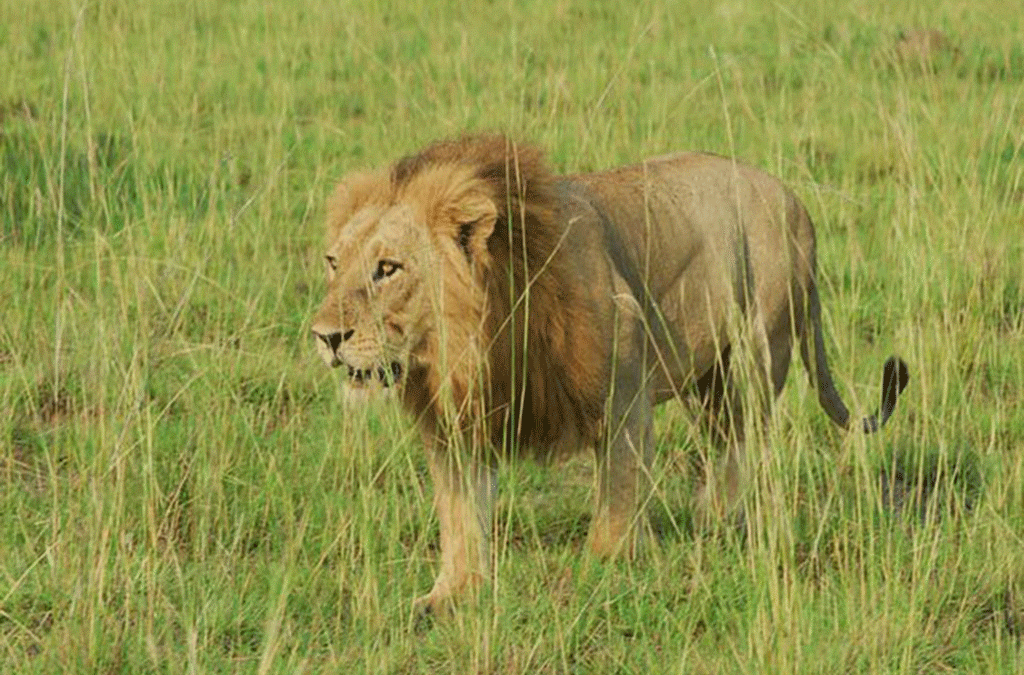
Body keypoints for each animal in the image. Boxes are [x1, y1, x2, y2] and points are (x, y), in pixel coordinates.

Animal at [311, 134, 908, 614]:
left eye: (388, 269)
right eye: (334, 263)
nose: (324, 336)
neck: (472, 343)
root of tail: (794, 200)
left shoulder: (624, 388)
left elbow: (618, 489)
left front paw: (608, 569)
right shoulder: (457, 422)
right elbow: (461, 515)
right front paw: (449, 595)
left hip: (759, 351)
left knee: (746, 441)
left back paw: (719, 523)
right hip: (708, 379)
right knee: (725, 441)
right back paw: (710, 518)